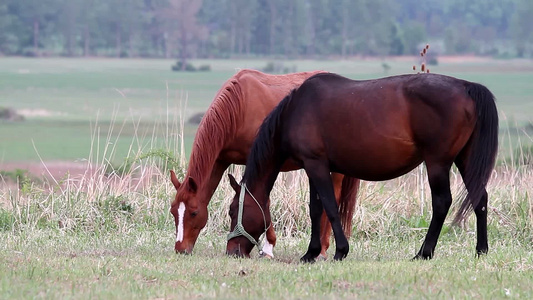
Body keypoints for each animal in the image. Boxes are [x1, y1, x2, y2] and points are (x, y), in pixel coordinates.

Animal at [169, 69, 362, 258]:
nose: (180, 249)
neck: (239, 108)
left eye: (193, 212)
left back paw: (322, 250)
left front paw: (268, 248)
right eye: (173, 211)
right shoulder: (222, 160)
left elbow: (263, 202)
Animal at [225, 71, 498, 262]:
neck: (296, 110)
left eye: (232, 211)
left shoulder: (317, 165)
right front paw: (311, 253)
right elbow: (315, 209)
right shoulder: (312, 168)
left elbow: (329, 207)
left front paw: (340, 251)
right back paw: (481, 250)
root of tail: (467, 86)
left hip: (438, 163)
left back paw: (424, 252)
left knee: (442, 202)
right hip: (465, 159)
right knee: (480, 198)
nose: (232, 251)